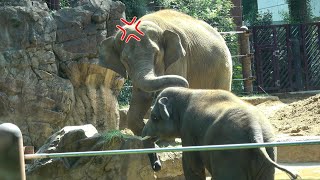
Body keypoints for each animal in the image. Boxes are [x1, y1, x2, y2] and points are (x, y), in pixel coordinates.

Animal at [98, 9, 232, 134]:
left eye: (156, 54)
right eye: (125, 60)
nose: (186, 83)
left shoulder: (179, 59)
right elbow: (141, 96)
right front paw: (143, 132)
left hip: (224, 68)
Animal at [141, 86, 298, 179]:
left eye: (154, 117)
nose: (157, 166)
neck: (187, 92)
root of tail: (255, 129)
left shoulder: (188, 130)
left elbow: (192, 165)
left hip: (228, 152)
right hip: (268, 148)